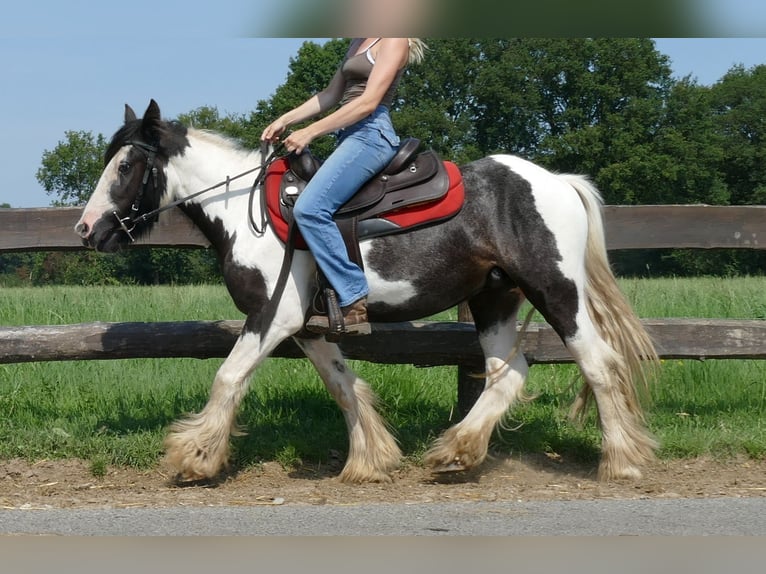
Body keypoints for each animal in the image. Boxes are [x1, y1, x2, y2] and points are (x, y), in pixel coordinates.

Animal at [75, 101, 660, 484]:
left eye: (125, 165)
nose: (86, 230)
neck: (248, 211)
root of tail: (558, 182)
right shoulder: (307, 328)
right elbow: (343, 387)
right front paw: (370, 460)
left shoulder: (273, 315)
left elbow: (228, 377)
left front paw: (194, 457)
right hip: (495, 299)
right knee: (507, 373)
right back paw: (456, 452)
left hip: (556, 291)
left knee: (599, 364)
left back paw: (622, 462)